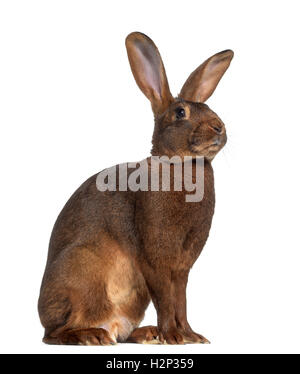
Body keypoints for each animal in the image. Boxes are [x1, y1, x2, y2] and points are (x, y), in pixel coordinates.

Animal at [38, 32, 234, 344]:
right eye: (180, 112)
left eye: (210, 109)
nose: (219, 127)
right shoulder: (153, 260)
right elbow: (166, 300)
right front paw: (173, 336)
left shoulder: (181, 269)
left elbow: (181, 301)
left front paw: (191, 336)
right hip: (81, 273)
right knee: (54, 333)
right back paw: (91, 336)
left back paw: (147, 333)